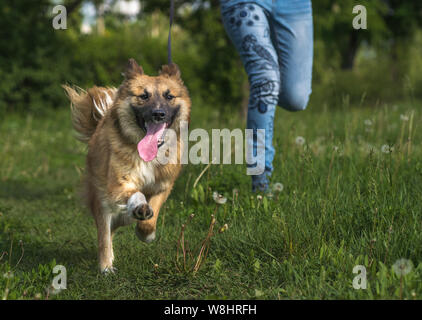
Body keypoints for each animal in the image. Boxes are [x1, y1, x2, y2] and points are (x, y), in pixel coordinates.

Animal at [63, 58, 191, 272]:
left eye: (169, 96)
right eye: (144, 96)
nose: (158, 114)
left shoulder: (163, 186)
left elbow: (153, 212)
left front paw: (146, 232)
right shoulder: (115, 184)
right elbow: (134, 193)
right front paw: (140, 207)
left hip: (121, 216)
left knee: (115, 227)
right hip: (102, 201)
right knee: (105, 235)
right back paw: (106, 266)